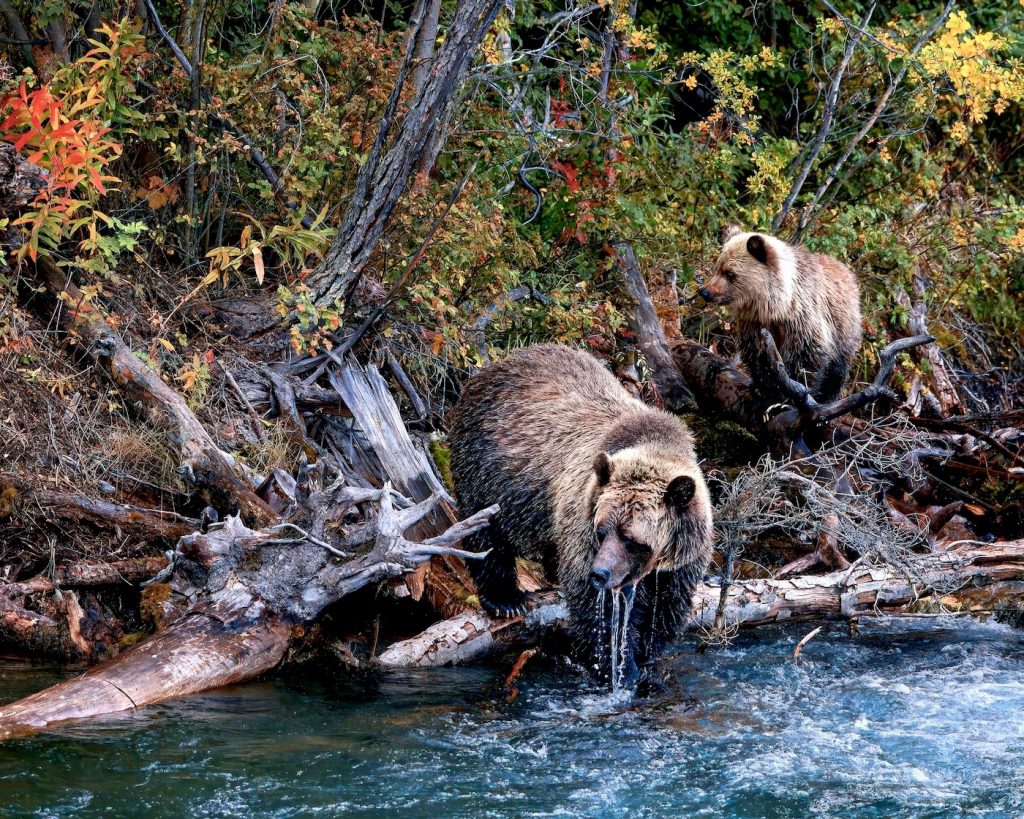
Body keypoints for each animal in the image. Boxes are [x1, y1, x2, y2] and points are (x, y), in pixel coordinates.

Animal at [447, 344, 713, 686]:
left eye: (632, 538)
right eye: (603, 531)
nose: (600, 573)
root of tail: (496, 365)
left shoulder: (680, 561)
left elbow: (666, 607)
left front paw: (643, 657)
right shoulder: (583, 518)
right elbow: (594, 607)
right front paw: (616, 666)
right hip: (487, 469)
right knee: (487, 530)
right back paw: (504, 599)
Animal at [699, 226, 862, 404]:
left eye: (729, 273)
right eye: (717, 268)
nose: (705, 292)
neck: (776, 308)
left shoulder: (803, 319)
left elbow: (807, 356)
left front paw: (793, 391)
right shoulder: (755, 323)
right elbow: (756, 353)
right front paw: (762, 387)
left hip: (844, 325)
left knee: (838, 366)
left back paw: (829, 396)